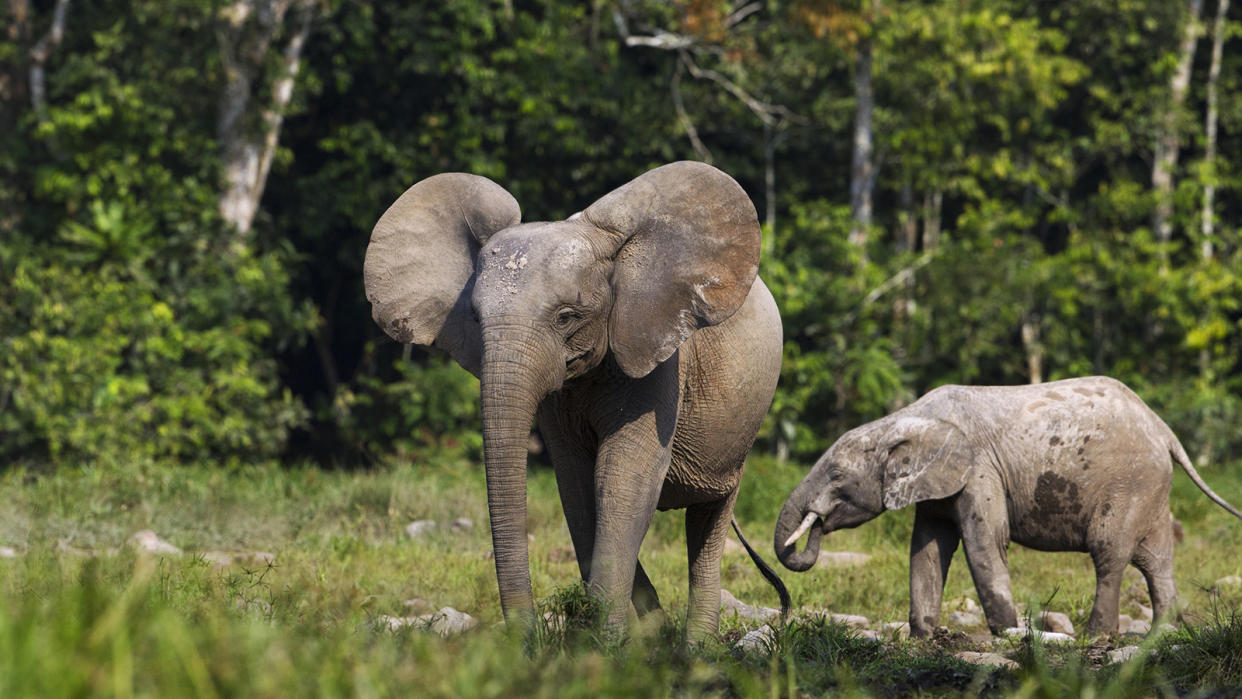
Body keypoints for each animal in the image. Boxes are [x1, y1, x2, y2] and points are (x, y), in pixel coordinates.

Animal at [362, 161, 784, 635]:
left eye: (566, 317)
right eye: (474, 316)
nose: (526, 636)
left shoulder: (656, 357)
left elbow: (622, 479)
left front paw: (610, 640)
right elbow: (578, 486)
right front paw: (628, 637)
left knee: (708, 520)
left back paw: (695, 644)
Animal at [775, 377, 1242, 640]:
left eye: (836, 474)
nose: (815, 526)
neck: (903, 420)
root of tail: (1165, 430)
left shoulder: (981, 469)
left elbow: (984, 544)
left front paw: (1009, 633)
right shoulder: (940, 482)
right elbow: (927, 548)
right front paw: (923, 638)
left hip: (1129, 482)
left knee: (1108, 552)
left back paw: (1097, 637)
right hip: (1150, 487)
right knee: (1156, 560)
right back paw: (1164, 635)